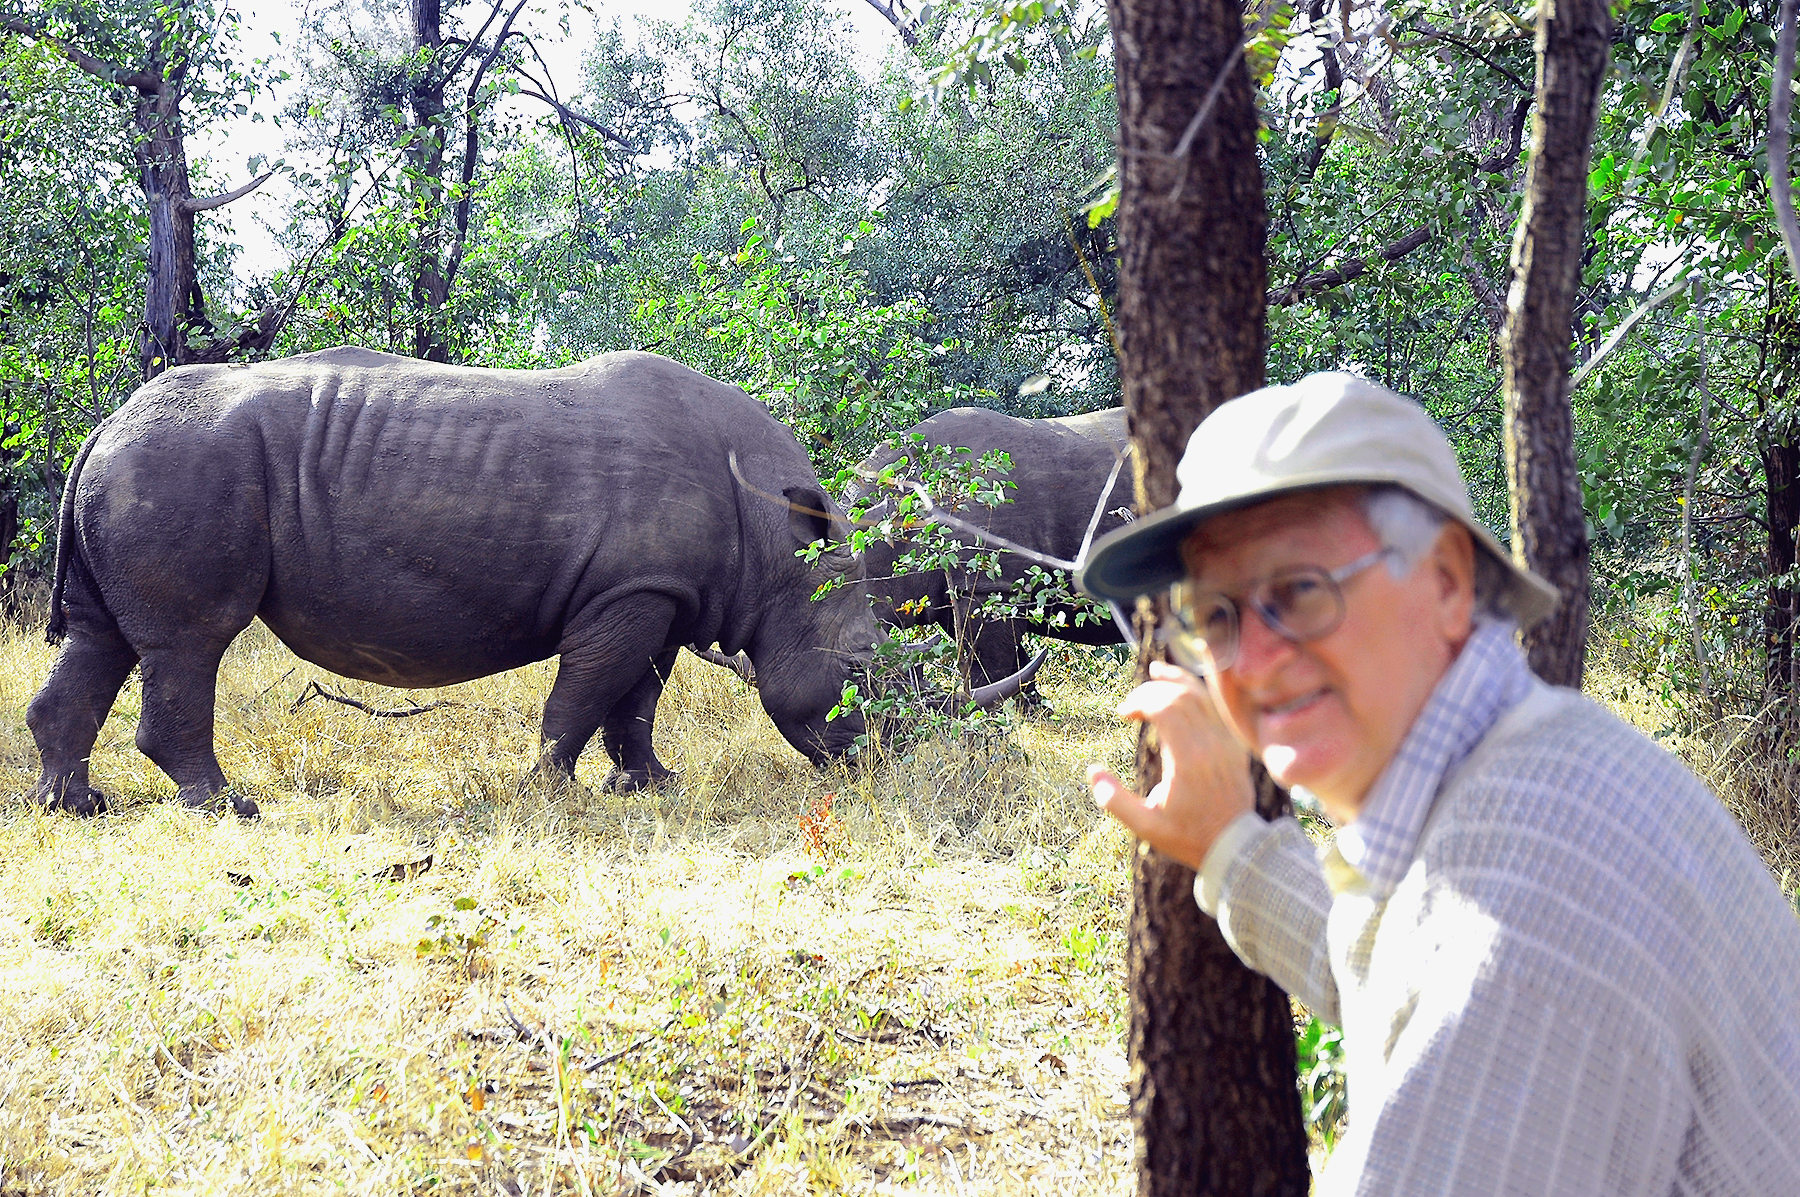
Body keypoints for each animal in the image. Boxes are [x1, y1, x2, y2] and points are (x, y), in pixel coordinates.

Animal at [27, 348, 886, 816]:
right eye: (861, 667)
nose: (886, 756)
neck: (777, 552)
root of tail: (102, 425)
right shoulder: (631, 592)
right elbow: (583, 696)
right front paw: (549, 789)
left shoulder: (663, 591)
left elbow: (636, 701)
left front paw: (649, 785)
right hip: (177, 464)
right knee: (190, 641)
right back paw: (229, 808)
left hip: (141, 465)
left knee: (103, 638)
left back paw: (75, 807)